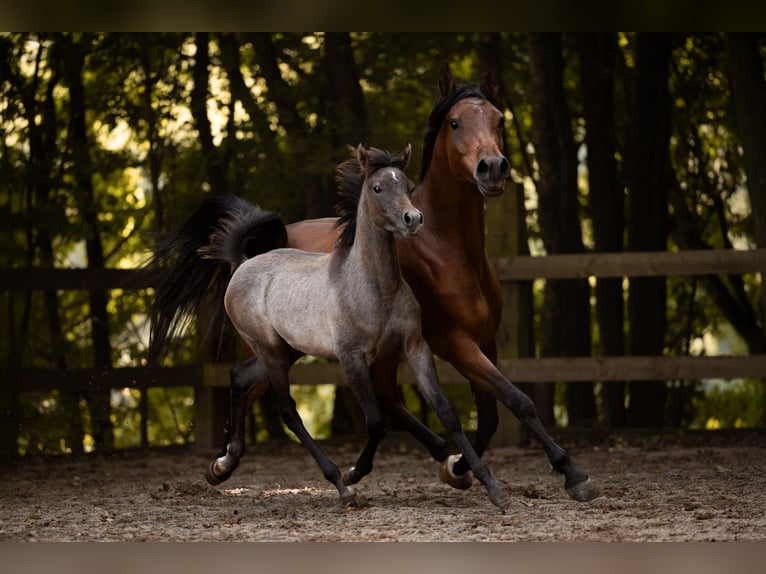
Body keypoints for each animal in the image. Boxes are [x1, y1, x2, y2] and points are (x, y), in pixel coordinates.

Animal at [191, 143, 506, 509]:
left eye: (409, 186)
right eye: (377, 187)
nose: (413, 219)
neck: (374, 287)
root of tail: (242, 264)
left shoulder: (414, 348)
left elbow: (446, 412)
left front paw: (488, 485)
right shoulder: (352, 358)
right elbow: (377, 422)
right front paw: (355, 473)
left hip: (286, 350)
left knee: (240, 377)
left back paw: (223, 463)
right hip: (270, 351)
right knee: (286, 409)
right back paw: (341, 486)